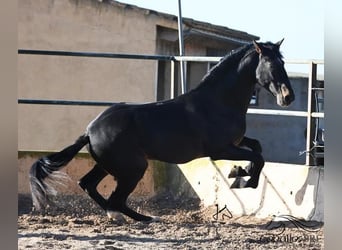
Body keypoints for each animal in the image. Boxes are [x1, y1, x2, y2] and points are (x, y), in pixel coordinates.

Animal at [29, 40, 296, 222]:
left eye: (283, 62)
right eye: (271, 63)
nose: (288, 97)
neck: (218, 102)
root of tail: (90, 130)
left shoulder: (235, 143)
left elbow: (257, 147)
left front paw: (238, 172)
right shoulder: (220, 150)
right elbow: (258, 157)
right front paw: (243, 181)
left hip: (110, 166)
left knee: (89, 185)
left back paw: (120, 216)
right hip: (133, 169)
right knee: (116, 199)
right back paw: (144, 218)